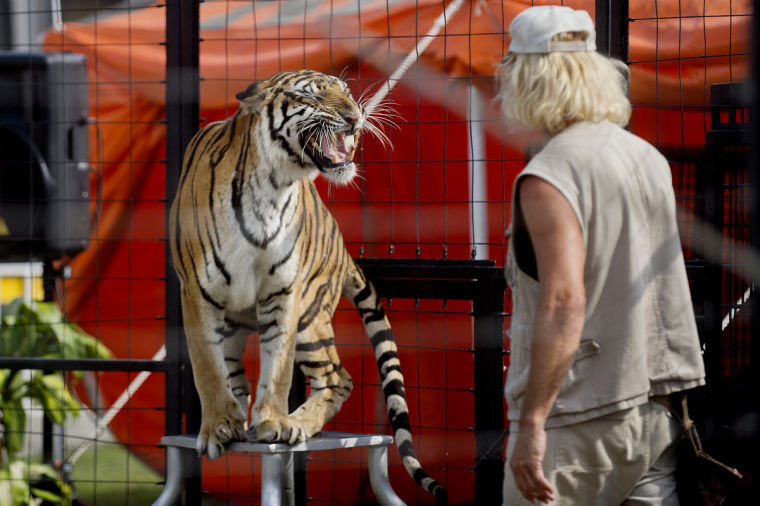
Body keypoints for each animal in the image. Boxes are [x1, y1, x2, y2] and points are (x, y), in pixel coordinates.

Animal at [168, 69, 446, 504]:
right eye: (311, 97)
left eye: (346, 92)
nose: (355, 116)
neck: (271, 186)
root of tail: (344, 248)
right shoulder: (196, 292)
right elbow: (206, 368)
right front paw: (218, 426)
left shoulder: (285, 293)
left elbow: (278, 368)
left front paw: (274, 421)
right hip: (239, 322)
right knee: (237, 372)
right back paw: (239, 418)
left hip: (311, 316)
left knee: (338, 378)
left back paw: (297, 421)